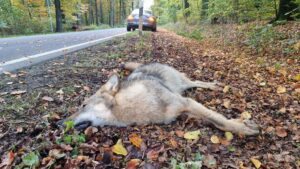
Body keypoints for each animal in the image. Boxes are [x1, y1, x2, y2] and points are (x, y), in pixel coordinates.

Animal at [67, 62, 258, 135]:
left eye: (83, 105)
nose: (61, 123)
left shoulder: (186, 102)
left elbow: (220, 120)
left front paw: (244, 128)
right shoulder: (185, 111)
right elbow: (214, 120)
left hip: (183, 84)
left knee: (196, 81)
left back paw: (213, 86)